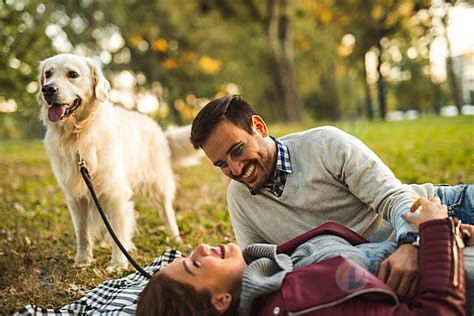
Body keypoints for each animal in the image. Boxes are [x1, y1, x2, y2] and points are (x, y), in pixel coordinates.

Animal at [37, 53, 196, 270]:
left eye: (73, 74)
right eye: (48, 74)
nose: (47, 89)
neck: (78, 136)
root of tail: (159, 130)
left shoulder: (115, 191)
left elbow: (119, 230)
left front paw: (119, 264)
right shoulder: (76, 196)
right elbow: (82, 232)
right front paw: (82, 261)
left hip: (157, 183)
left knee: (166, 211)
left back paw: (175, 237)